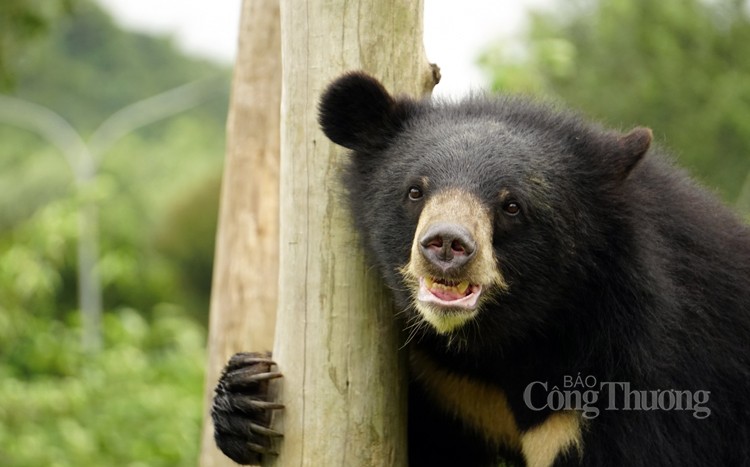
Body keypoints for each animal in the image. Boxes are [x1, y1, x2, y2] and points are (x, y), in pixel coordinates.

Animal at [212, 73, 750, 467]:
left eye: (511, 205)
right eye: (415, 191)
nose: (446, 245)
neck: (506, 343)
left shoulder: (646, 381)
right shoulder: (452, 389)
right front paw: (247, 396)